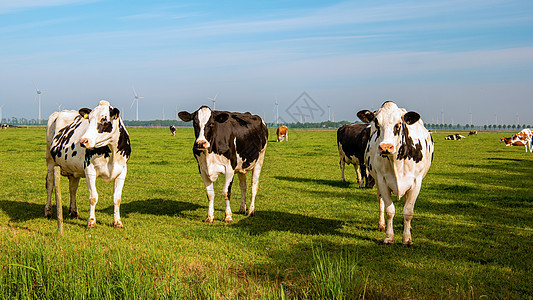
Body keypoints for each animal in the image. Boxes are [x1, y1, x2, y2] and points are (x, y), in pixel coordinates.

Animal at [45, 99, 131, 229]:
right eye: (89, 120)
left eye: (104, 120)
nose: (83, 141)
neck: (112, 152)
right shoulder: (90, 170)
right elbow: (93, 197)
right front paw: (91, 222)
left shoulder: (122, 171)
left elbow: (117, 198)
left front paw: (117, 222)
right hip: (50, 162)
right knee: (50, 185)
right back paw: (48, 211)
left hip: (73, 168)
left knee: (73, 188)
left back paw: (73, 211)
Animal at [358, 102, 432, 245]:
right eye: (377, 122)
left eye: (398, 124)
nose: (385, 147)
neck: (396, 161)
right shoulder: (382, 181)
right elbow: (389, 210)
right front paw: (389, 237)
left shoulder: (416, 182)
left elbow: (408, 211)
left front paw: (407, 238)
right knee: (380, 200)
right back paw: (381, 225)